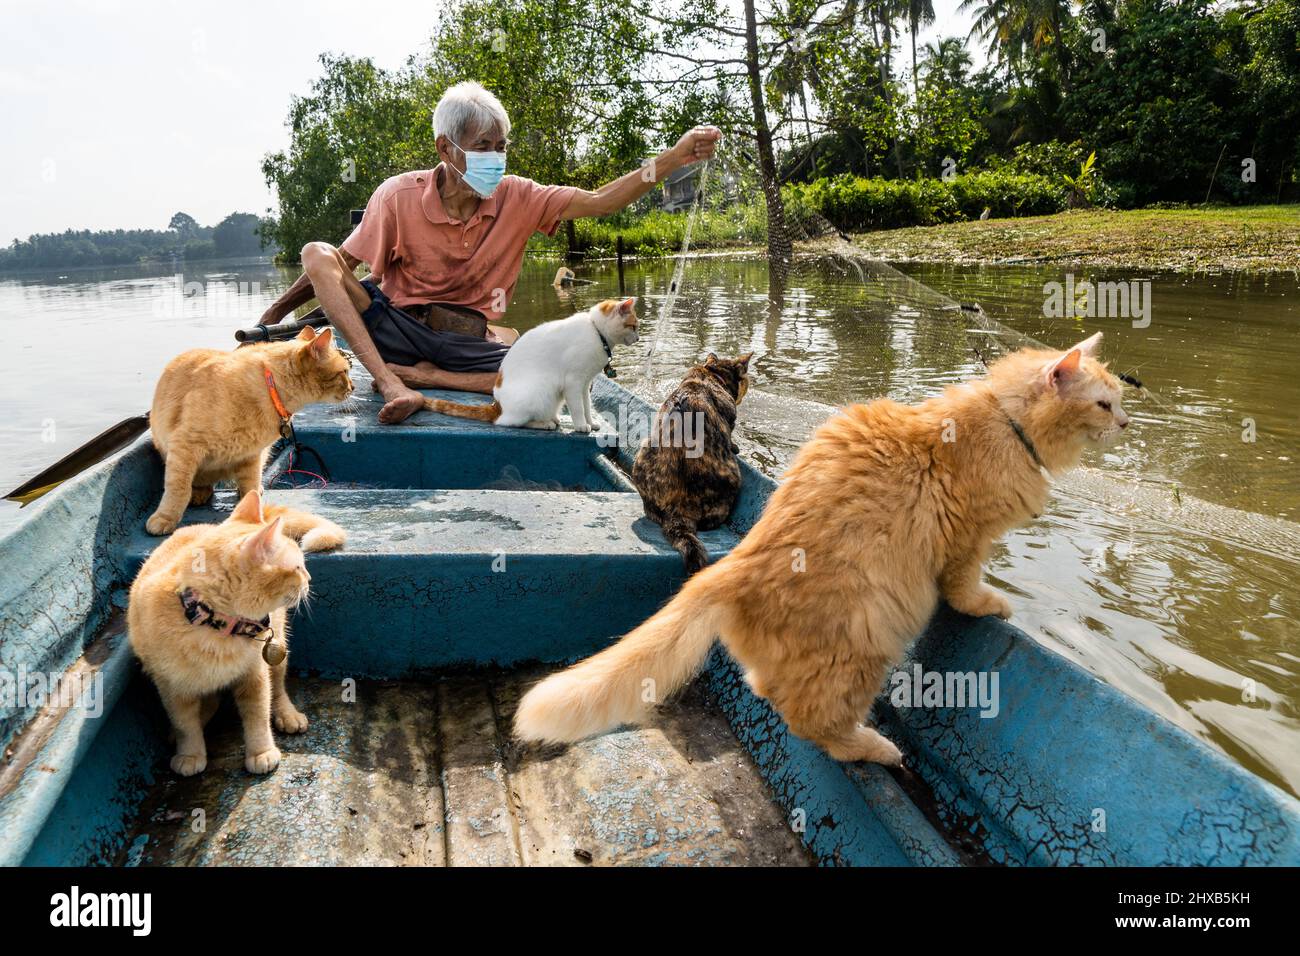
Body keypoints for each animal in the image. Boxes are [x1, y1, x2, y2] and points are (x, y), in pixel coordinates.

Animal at [127, 494, 314, 780]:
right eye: (297, 567)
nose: (309, 579)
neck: (213, 623)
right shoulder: (170, 685)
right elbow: (184, 724)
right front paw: (190, 753)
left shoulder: (255, 674)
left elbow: (258, 714)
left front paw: (261, 751)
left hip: (279, 645)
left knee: (278, 686)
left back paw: (287, 713)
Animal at [147, 327, 353, 538]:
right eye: (344, 372)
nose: (352, 387)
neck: (271, 389)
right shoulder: (186, 445)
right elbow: (178, 489)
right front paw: (165, 518)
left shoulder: (251, 455)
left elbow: (250, 488)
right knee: (199, 483)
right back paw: (199, 493)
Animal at [426, 299, 639, 434]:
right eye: (633, 326)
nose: (638, 338)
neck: (597, 333)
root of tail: (497, 406)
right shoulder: (573, 383)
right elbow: (578, 408)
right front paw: (581, 425)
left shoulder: (585, 384)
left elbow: (586, 406)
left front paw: (591, 423)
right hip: (541, 390)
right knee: (509, 423)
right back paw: (544, 423)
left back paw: (553, 419)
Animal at [631, 353, 754, 572]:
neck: (712, 373)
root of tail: (678, 510)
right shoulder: (730, 419)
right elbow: (731, 434)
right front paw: (736, 446)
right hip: (732, 475)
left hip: (642, 453)